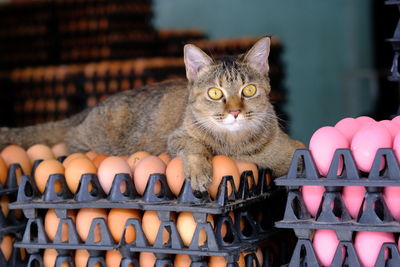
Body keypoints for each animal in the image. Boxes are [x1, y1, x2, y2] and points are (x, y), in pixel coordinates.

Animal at [0, 38, 302, 193]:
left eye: (248, 90)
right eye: (215, 93)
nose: (236, 112)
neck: (235, 145)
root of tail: (86, 111)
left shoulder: (292, 148)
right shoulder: (178, 136)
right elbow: (193, 147)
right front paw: (198, 169)